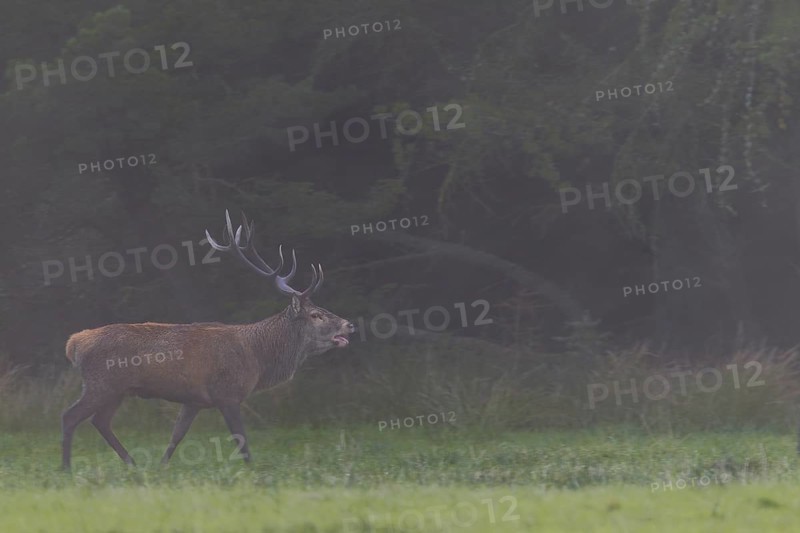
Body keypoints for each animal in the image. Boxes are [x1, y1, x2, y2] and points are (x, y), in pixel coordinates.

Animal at [61, 210, 355, 470]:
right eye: (316, 315)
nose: (349, 324)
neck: (258, 357)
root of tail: (74, 343)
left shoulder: (194, 400)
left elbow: (176, 435)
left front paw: (161, 467)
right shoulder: (228, 393)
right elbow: (241, 439)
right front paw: (252, 470)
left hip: (117, 389)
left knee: (100, 421)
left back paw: (132, 463)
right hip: (101, 383)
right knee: (70, 416)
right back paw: (66, 468)